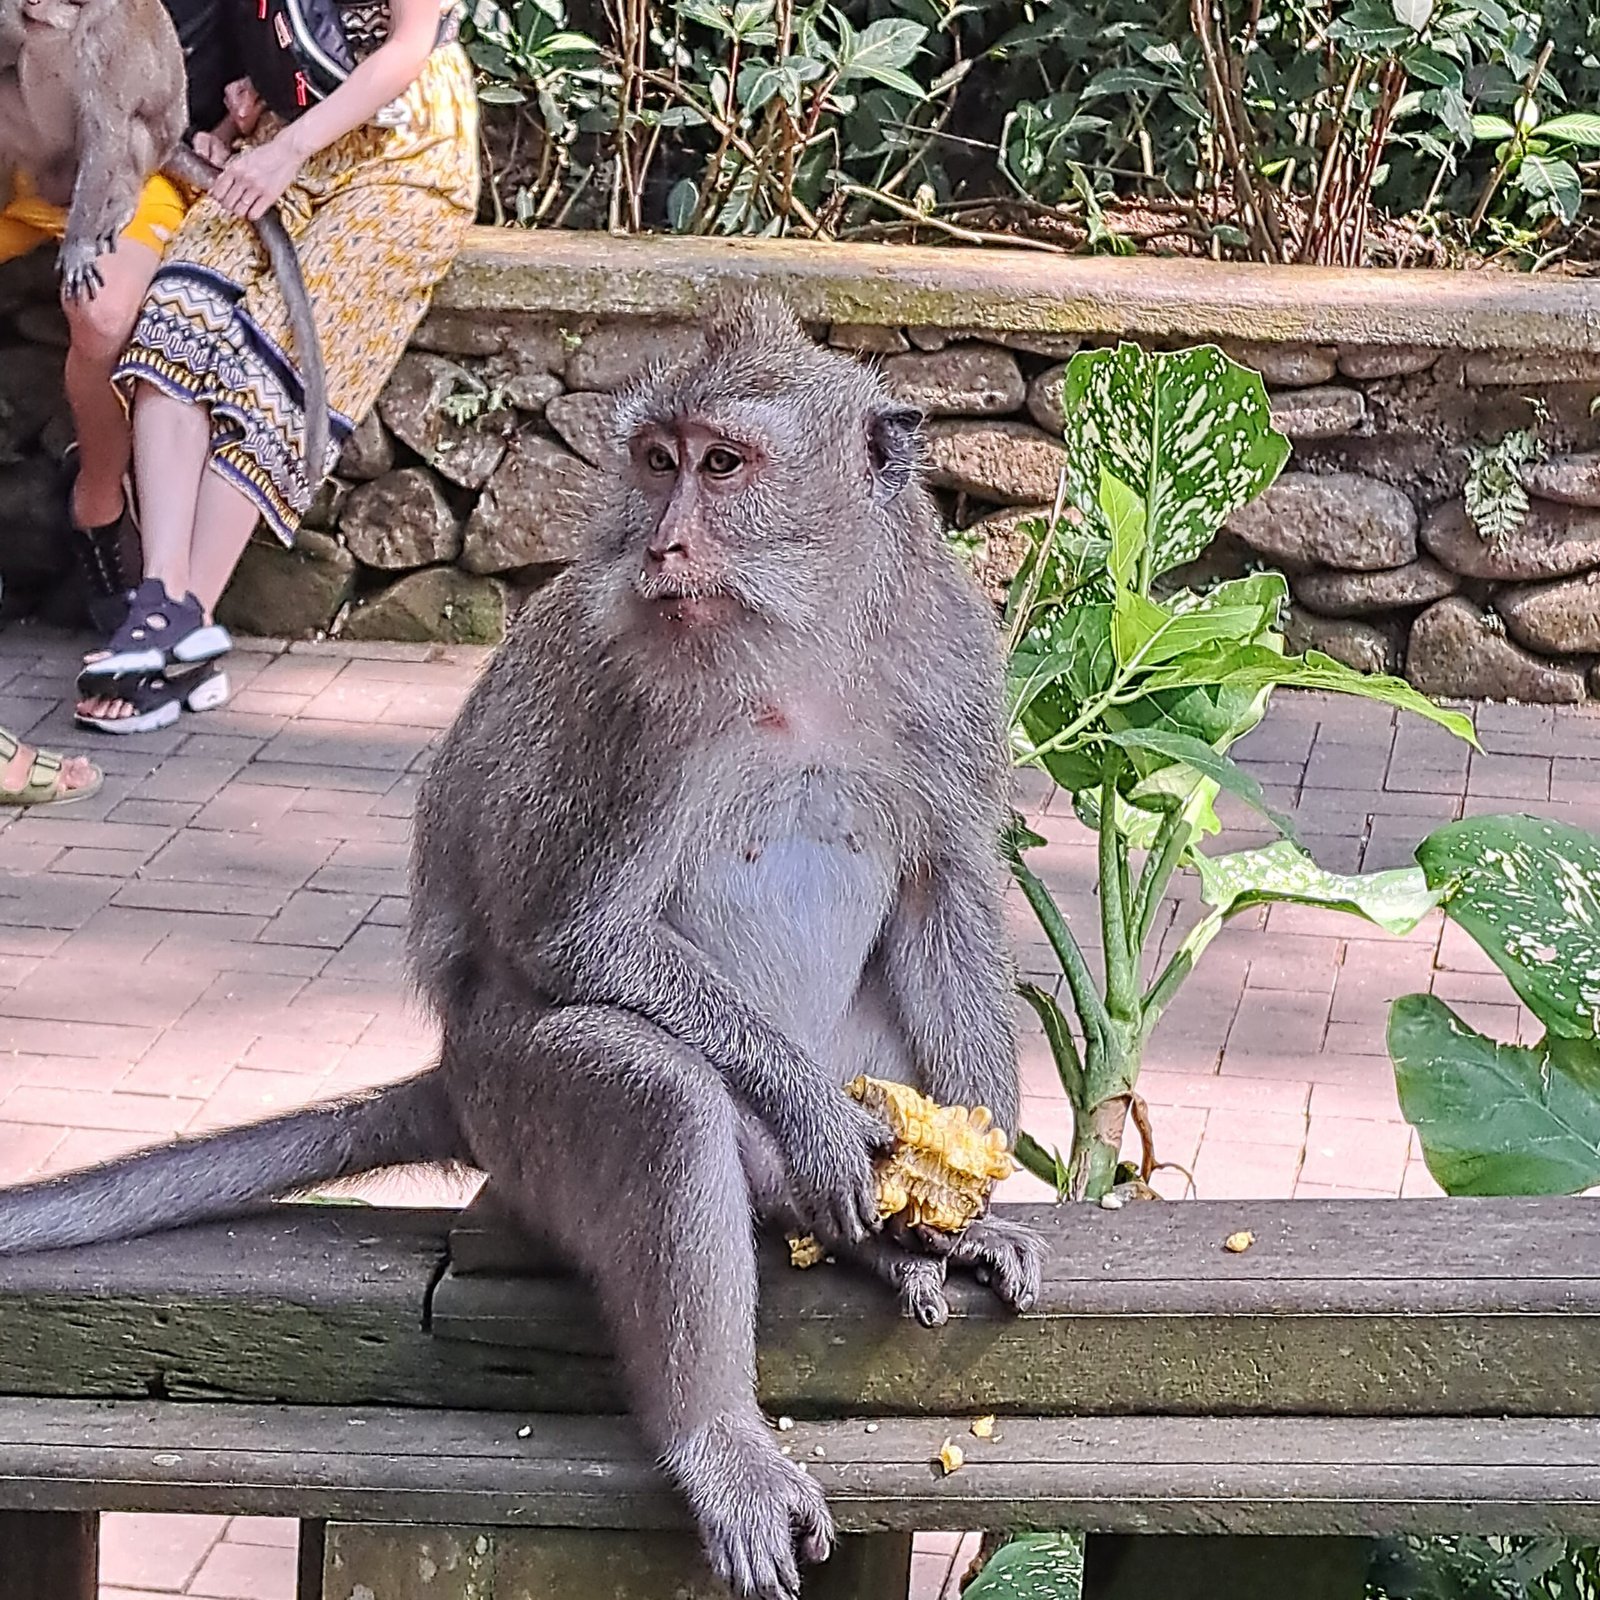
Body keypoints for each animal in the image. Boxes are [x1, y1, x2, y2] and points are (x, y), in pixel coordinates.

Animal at [0, 0, 330, 477]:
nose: (35, 9)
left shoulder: (107, 45)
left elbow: (107, 130)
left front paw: (79, 247)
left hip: (131, 155)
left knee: (129, 134)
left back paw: (119, 204)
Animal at [0, 293, 1044, 1600]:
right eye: (655, 462)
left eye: (722, 465)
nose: (664, 550)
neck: (801, 644)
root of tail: (452, 1075)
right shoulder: (638, 701)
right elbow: (576, 930)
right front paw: (816, 1117)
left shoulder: (949, 660)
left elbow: (945, 890)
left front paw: (968, 1203)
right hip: (515, 1097)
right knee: (660, 1102)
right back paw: (720, 1438)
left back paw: (880, 1254)